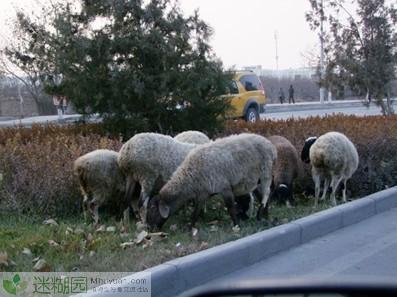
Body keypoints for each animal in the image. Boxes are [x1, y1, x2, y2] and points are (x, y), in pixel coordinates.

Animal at [144, 133, 276, 230]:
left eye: (153, 208)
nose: (149, 228)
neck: (190, 177)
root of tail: (270, 144)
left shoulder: (224, 187)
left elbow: (230, 208)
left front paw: (236, 225)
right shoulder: (203, 193)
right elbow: (196, 212)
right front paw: (190, 227)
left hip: (265, 171)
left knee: (267, 193)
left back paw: (260, 213)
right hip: (256, 179)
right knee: (263, 195)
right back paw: (265, 215)